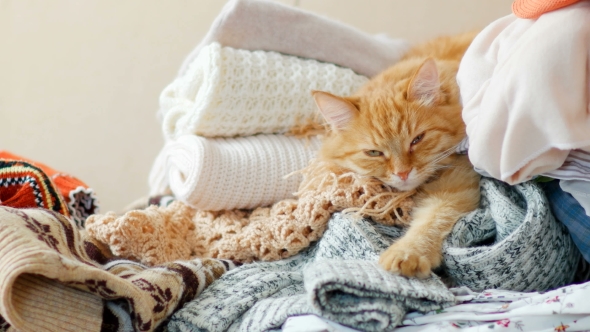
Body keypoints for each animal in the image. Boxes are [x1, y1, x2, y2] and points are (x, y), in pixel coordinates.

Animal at [312, 32, 484, 278]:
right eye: (374, 152)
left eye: (417, 140)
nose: (403, 173)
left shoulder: (456, 186)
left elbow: (431, 221)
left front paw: (407, 254)